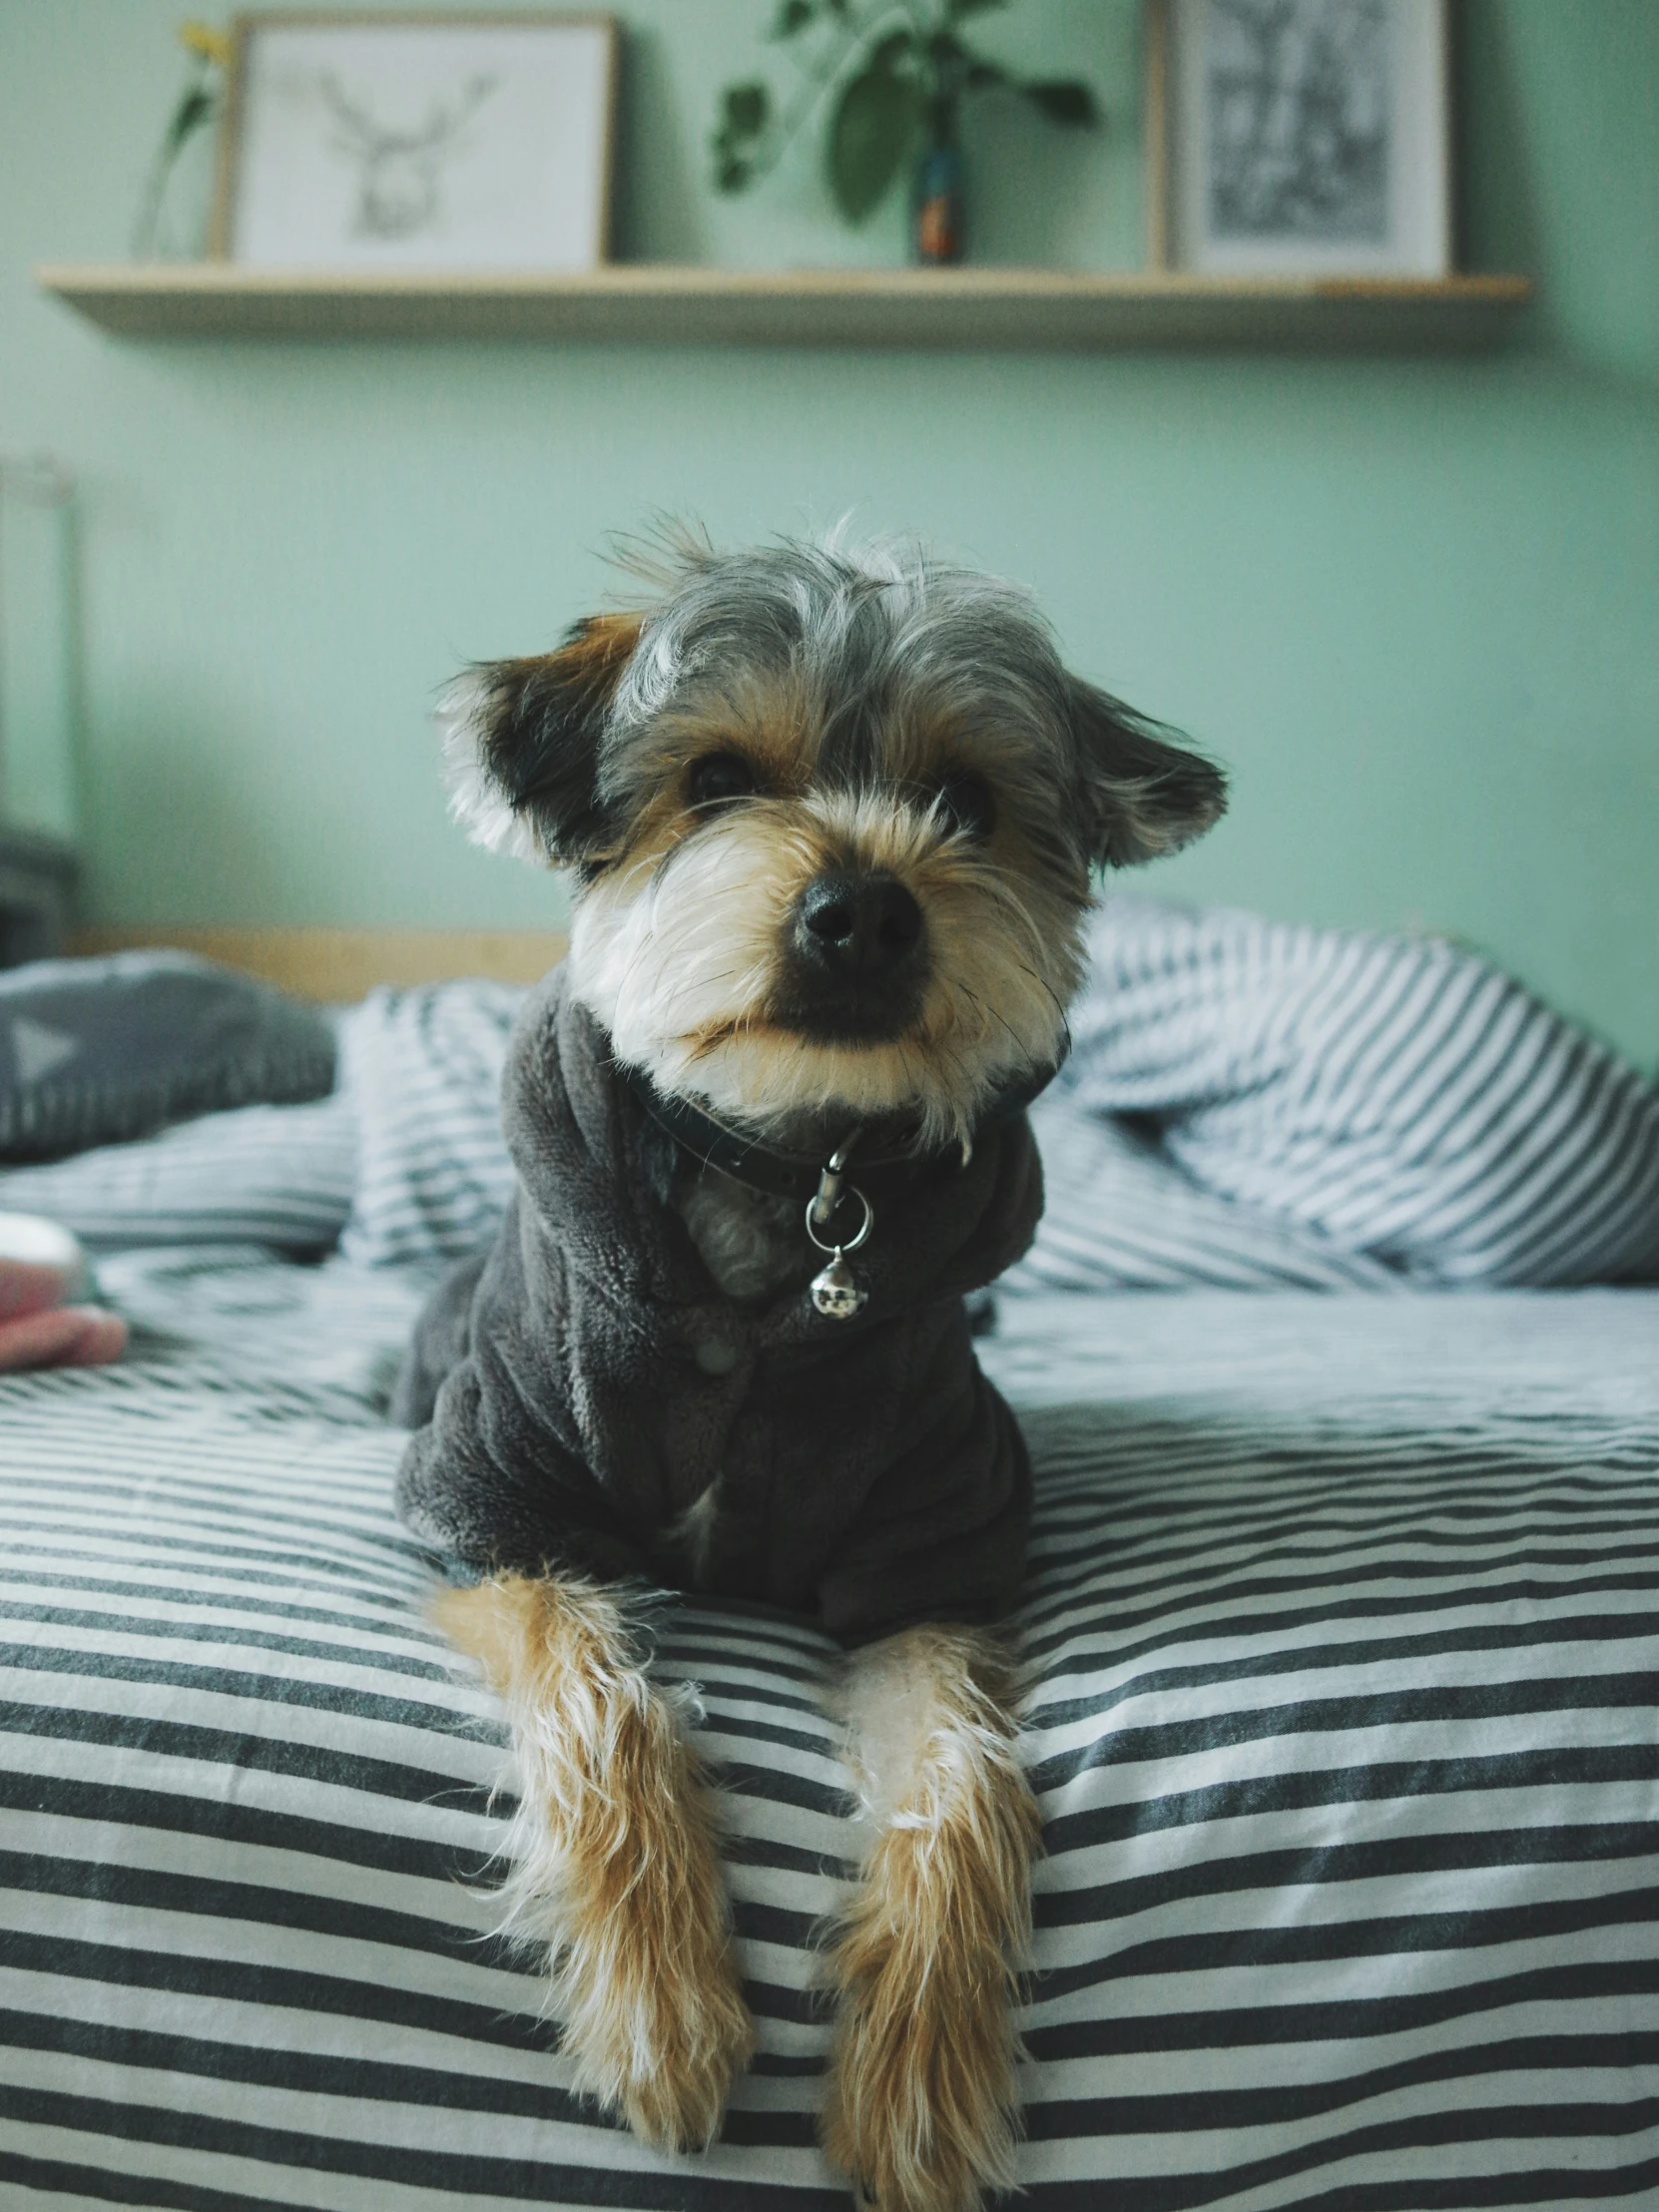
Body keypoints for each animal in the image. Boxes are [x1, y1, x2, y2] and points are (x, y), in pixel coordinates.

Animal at [389, 535, 1221, 2212]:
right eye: (713, 781)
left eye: (965, 800)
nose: (864, 914)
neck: (795, 1179)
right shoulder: (503, 1499)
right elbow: (601, 1696)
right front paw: (659, 2004)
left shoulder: (928, 1542)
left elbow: (958, 1779)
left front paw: (916, 2068)